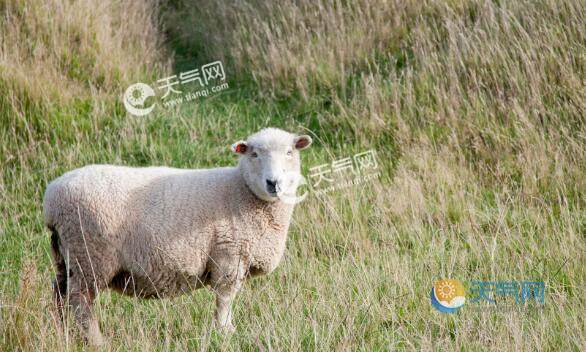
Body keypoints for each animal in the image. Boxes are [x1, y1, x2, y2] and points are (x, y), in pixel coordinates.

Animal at [42, 127, 310, 346]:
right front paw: (225, 332)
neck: (241, 191)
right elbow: (225, 298)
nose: (273, 182)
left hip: (67, 255)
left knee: (59, 293)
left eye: (289, 152)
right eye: (254, 154)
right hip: (89, 254)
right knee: (80, 301)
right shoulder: (229, 255)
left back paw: (61, 332)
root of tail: (52, 198)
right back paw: (97, 341)